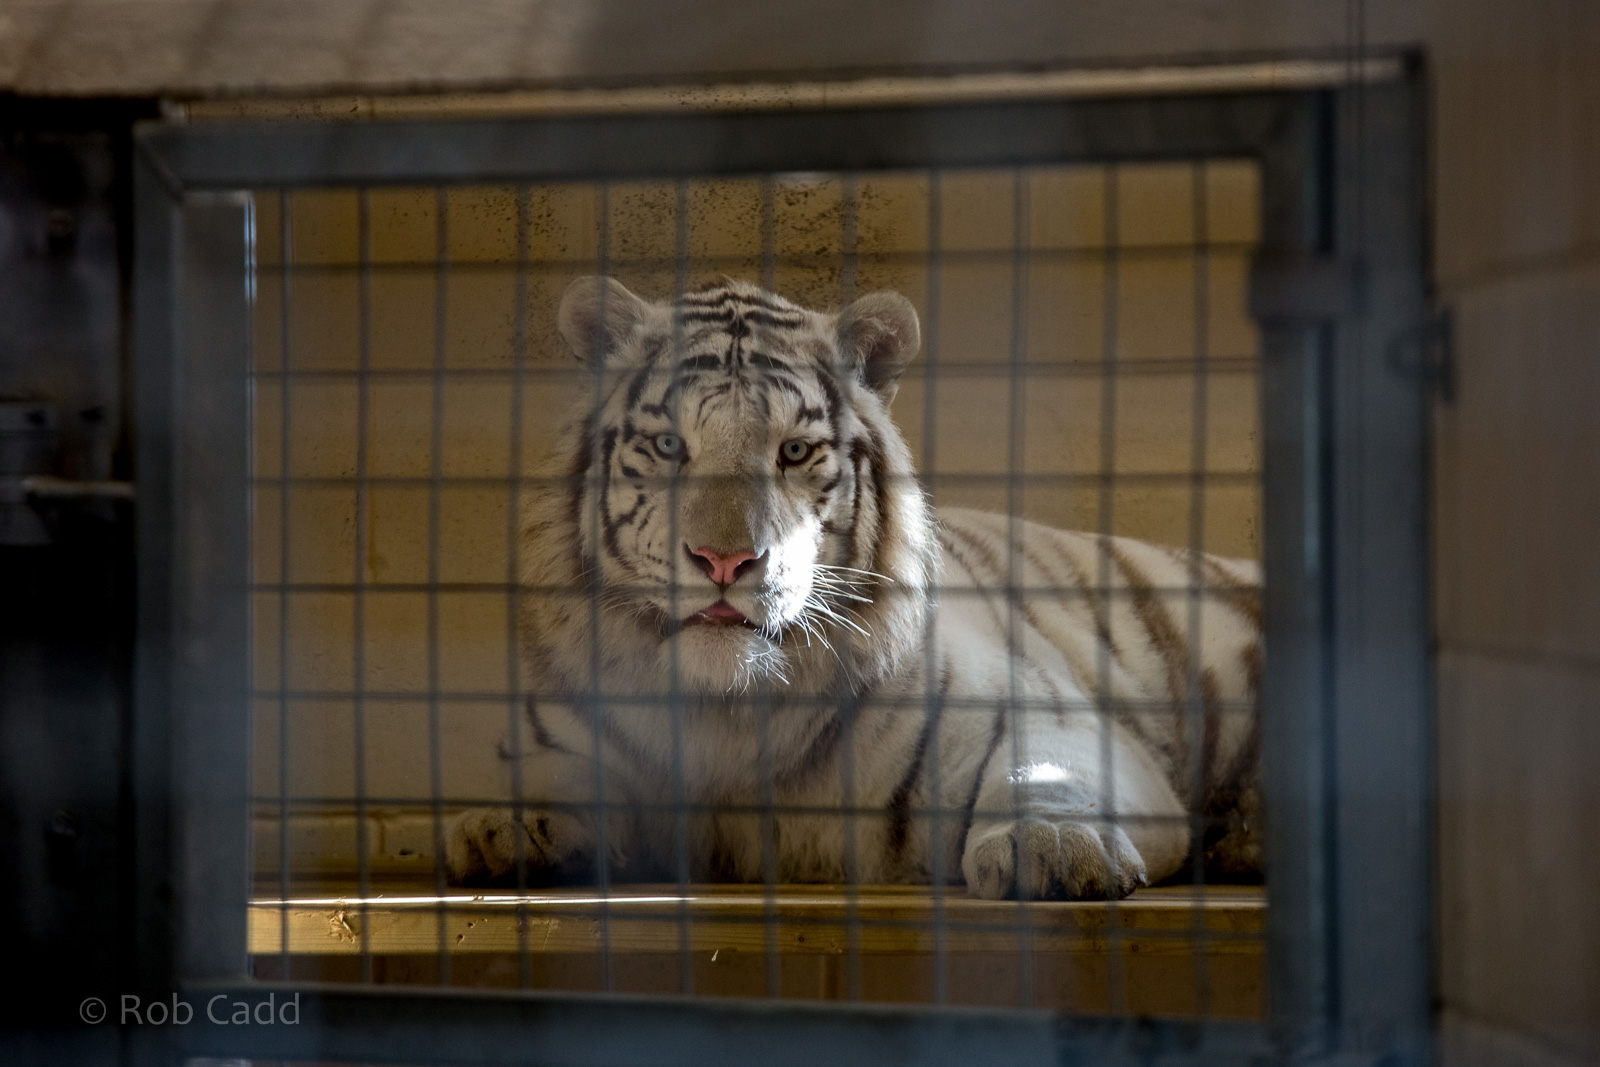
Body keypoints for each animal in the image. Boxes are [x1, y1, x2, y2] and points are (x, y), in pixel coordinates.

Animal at [445, 277, 1262, 899]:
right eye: (671, 446)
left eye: (794, 451)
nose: (723, 559)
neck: (727, 716)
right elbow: (557, 775)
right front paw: (508, 826)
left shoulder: (1040, 710)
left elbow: (1047, 772)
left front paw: (1055, 846)